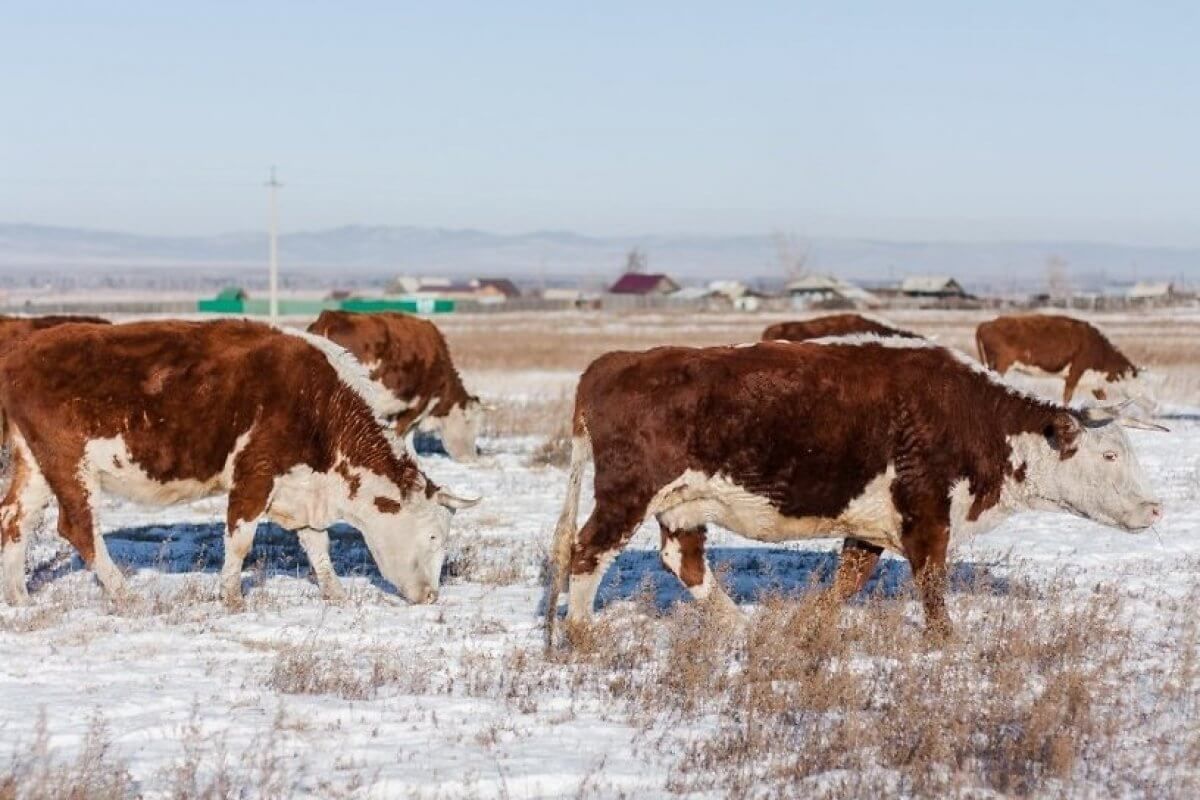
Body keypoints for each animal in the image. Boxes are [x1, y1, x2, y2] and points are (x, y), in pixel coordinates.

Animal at [547, 335, 1161, 642]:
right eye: (1110, 455)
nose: (1154, 508)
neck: (975, 418)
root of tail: (612, 362)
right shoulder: (926, 514)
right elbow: (931, 583)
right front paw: (946, 643)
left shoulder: (872, 523)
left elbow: (848, 581)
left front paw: (806, 625)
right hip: (627, 495)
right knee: (587, 553)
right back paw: (582, 633)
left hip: (684, 505)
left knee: (685, 560)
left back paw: (738, 626)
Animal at [979, 314, 1156, 410]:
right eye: (1141, 384)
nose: (1154, 405)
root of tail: (987, 324)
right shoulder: (1076, 371)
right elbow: (1067, 397)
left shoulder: (1093, 381)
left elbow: (1102, 400)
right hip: (1000, 364)